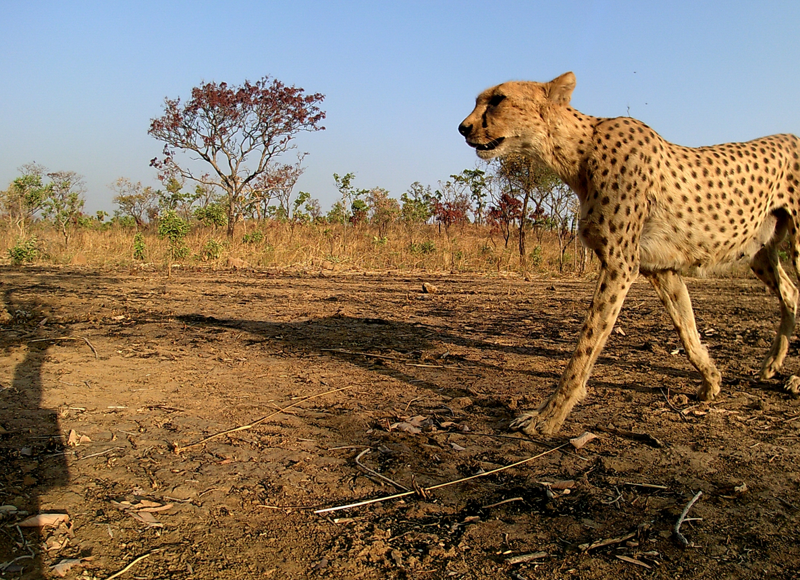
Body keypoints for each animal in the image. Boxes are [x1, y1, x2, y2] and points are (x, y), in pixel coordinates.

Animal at [460, 71, 800, 436]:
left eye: (498, 99)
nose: (463, 128)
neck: (578, 151)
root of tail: (791, 135)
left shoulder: (620, 265)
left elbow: (587, 343)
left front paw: (547, 416)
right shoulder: (660, 268)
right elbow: (686, 328)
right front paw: (711, 380)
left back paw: (793, 379)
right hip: (758, 252)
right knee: (791, 293)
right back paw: (771, 365)